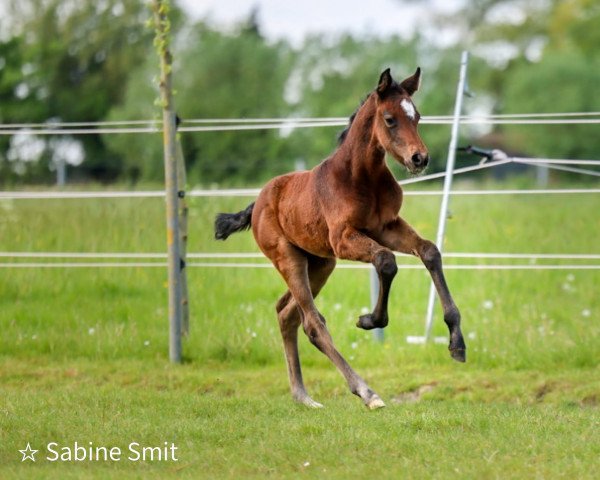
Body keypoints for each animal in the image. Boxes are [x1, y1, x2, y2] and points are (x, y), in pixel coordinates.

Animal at [213, 67, 466, 408]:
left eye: (417, 116)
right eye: (390, 119)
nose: (420, 159)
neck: (361, 178)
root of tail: (258, 202)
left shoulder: (387, 227)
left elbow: (429, 252)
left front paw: (456, 342)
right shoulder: (344, 239)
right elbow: (386, 261)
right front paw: (370, 320)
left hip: (320, 264)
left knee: (286, 313)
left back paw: (302, 396)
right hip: (289, 258)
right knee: (312, 323)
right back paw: (366, 392)